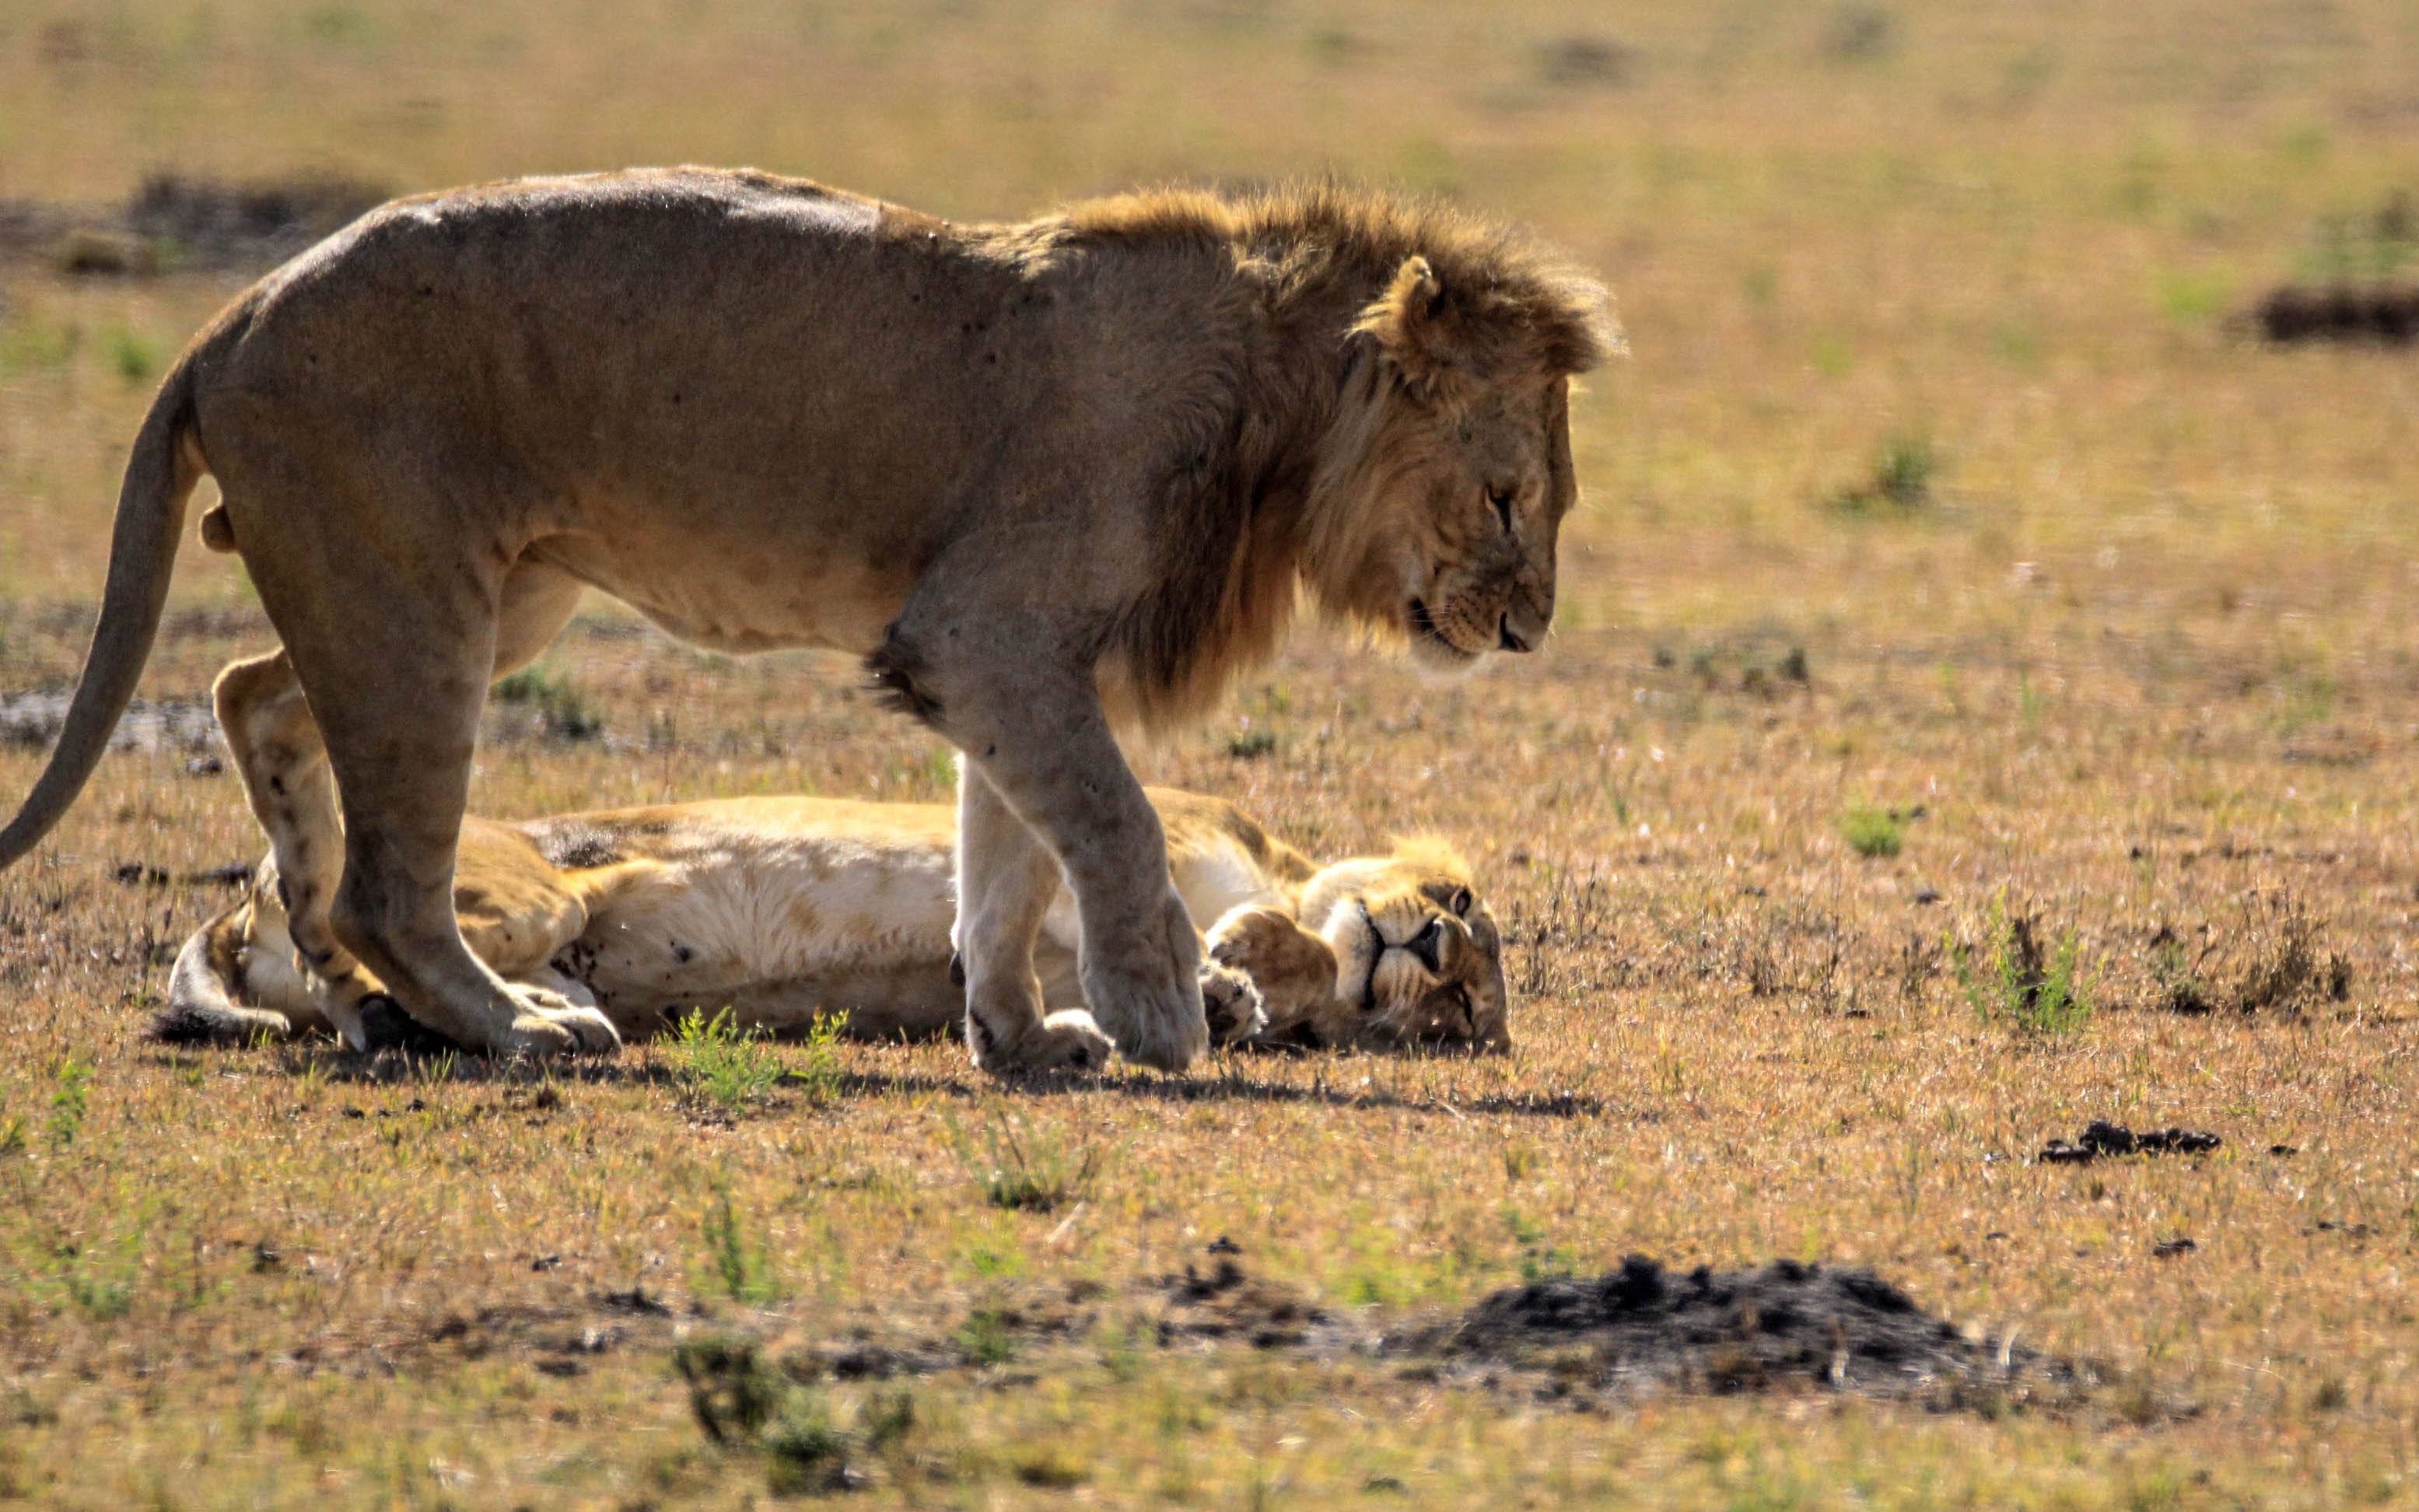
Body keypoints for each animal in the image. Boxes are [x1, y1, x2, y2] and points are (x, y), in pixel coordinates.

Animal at [14, 168, 1625, 1074]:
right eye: (1506, 495)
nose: (1529, 630)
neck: (1272, 408)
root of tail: (225, 321)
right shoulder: (990, 633)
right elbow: (1111, 824)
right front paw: (1164, 1005)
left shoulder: (1004, 656)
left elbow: (1005, 861)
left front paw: (1024, 1035)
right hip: (423, 607)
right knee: (385, 879)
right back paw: (517, 1026)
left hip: (481, 595)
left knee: (250, 692)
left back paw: (333, 939)